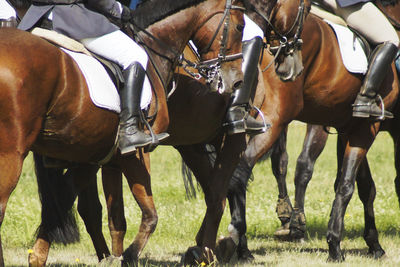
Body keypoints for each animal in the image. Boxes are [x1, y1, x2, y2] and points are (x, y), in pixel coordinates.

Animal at [0, 0, 245, 267]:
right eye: (240, 26)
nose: (236, 83)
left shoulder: (91, 156)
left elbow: (62, 205)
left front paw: (38, 257)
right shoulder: (134, 152)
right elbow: (149, 214)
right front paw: (127, 255)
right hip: (11, 155)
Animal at [223, 0, 400, 264]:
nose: (290, 68)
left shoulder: (349, 128)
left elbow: (363, 186)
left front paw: (373, 244)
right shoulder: (368, 128)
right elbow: (348, 185)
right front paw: (335, 246)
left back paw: (241, 246)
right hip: (273, 122)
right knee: (239, 176)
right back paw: (242, 244)